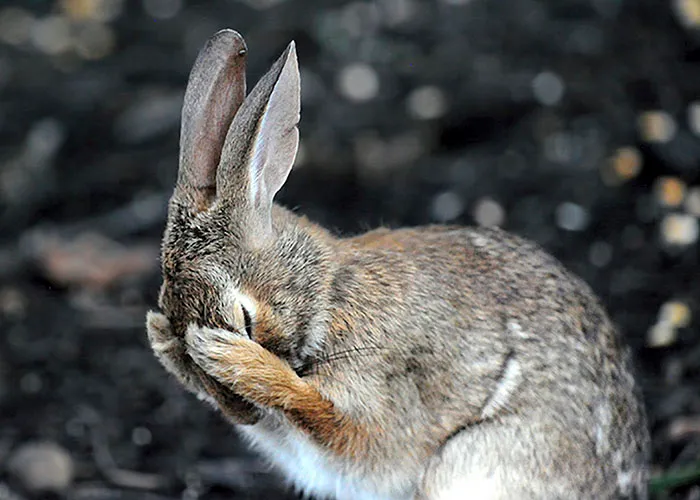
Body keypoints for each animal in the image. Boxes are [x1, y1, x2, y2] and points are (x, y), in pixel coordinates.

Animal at [146, 29, 650, 500]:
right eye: (175, 321)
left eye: (244, 318)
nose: (243, 412)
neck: (327, 295)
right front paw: (162, 340)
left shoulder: (378, 394)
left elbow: (337, 422)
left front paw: (234, 359)